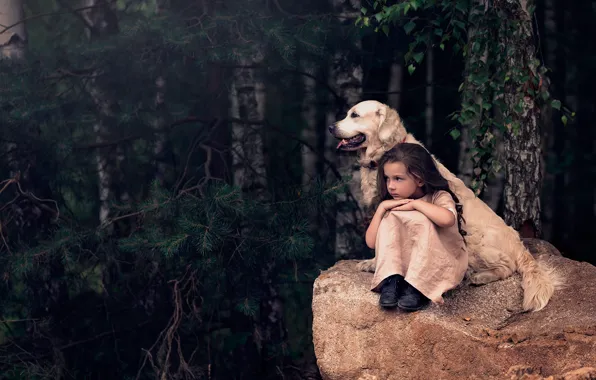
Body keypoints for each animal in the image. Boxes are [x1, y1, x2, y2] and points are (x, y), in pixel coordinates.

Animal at [328, 99, 560, 310]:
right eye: (347, 113)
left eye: (354, 115)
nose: (331, 127)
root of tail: (519, 245)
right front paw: (374, 263)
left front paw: (376, 264)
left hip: (475, 239)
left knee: (507, 266)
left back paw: (479, 276)